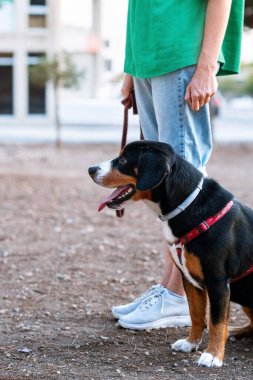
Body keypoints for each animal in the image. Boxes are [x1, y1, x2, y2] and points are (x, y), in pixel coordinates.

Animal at [88, 140, 253, 368]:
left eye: (123, 159)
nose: (90, 169)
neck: (188, 208)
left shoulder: (218, 282)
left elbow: (217, 322)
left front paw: (213, 355)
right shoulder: (190, 281)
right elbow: (196, 315)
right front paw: (191, 343)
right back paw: (235, 331)